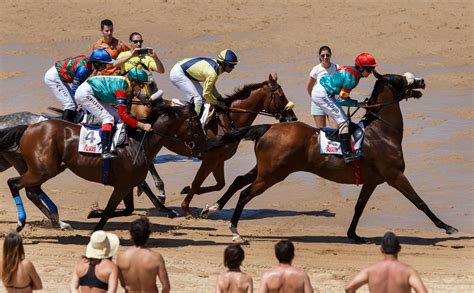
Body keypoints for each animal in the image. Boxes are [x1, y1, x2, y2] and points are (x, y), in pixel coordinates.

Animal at [0, 100, 207, 230]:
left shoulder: (126, 184)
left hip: (47, 167)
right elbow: (112, 208)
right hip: (40, 169)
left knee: (30, 189)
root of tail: (28, 128)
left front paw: (93, 213)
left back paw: (56, 220)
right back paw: (25, 222)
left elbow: (127, 208)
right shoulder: (123, 184)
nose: (206, 145)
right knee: (18, 185)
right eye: (197, 122)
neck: (138, 141)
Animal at [155, 74, 296, 216]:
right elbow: (197, 182)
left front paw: (188, 190)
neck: (228, 120)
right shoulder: (210, 159)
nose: (293, 118)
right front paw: (186, 208)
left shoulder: (219, 160)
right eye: (280, 95)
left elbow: (219, 184)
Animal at [202, 71, 458, 242]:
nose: (422, 81)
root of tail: (268, 127)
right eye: (400, 79)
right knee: (245, 194)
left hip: (265, 170)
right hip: (272, 175)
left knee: (238, 181)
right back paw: (235, 231)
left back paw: (212, 207)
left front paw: (353, 235)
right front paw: (447, 227)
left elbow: (359, 207)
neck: (382, 133)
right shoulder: (395, 176)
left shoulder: (372, 181)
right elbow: (419, 201)